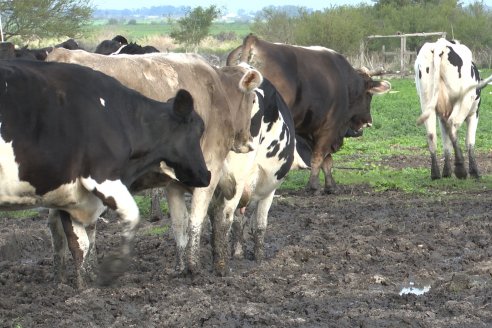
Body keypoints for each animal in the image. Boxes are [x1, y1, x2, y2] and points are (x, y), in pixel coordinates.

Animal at [0, 59, 209, 288]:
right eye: (199, 130)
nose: (206, 174)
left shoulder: (70, 195)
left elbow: (79, 244)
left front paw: (83, 287)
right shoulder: (101, 177)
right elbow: (132, 216)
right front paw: (112, 269)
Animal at [46, 48, 264, 280]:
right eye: (252, 100)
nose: (248, 142)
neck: (216, 90)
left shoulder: (176, 181)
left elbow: (179, 223)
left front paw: (180, 267)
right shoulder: (211, 167)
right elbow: (199, 218)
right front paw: (196, 267)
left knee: (57, 229)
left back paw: (63, 277)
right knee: (76, 237)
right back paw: (85, 278)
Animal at [208, 77, 308, 274]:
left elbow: (239, 221)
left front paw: (238, 253)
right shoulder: (269, 188)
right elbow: (260, 224)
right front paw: (260, 259)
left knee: (211, 214)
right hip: (237, 178)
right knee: (223, 216)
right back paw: (221, 266)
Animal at [228, 34, 392, 192]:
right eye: (369, 95)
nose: (368, 121)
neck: (347, 84)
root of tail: (255, 41)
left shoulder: (309, 130)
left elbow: (327, 160)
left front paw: (331, 186)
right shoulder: (329, 127)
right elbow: (320, 156)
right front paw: (314, 185)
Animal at [416, 38, 492, 179]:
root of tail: (440, 44)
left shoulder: (442, 117)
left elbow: (446, 143)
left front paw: (446, 171)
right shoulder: (474, 113)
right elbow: (470, 141)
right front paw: (474, 171)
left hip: (426, 102)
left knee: (431, 134)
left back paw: (435, 173)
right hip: (463, 102)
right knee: (453, 123)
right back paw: (460, 168)